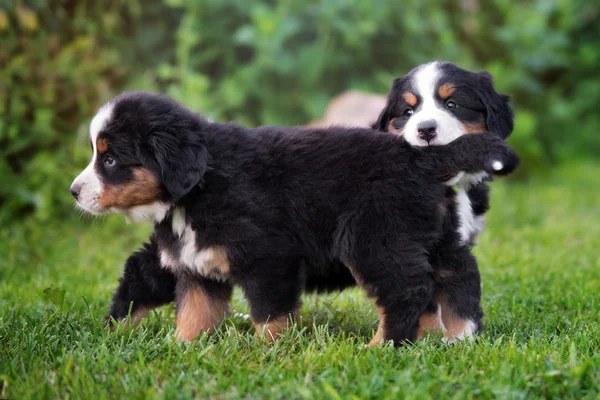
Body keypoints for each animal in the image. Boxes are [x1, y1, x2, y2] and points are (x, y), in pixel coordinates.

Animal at [71, 92, 520, 346]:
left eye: (109, 159)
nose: (74, 191)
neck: (199, 186)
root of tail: (420, 156)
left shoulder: (269, 258)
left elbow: (269, 316)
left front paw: (267, 353)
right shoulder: (196, 266)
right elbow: (195, 313)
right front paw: (182, 348)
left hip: (375, 239)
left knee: (407, 291)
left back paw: (382, 347)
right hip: (431, 237)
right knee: (455, 278)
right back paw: (453, 336)